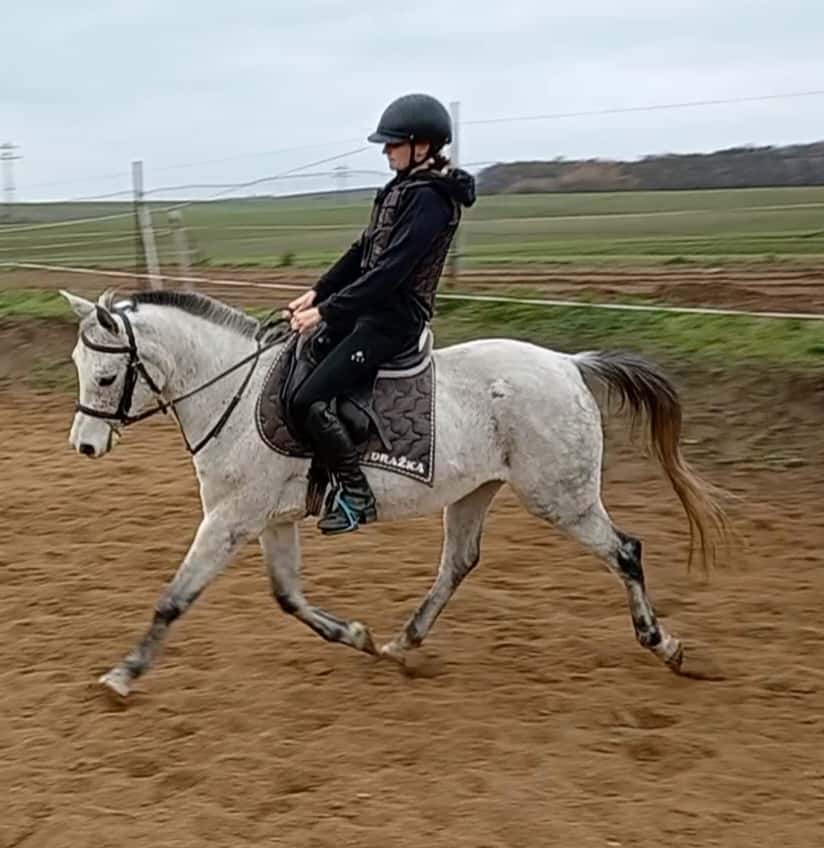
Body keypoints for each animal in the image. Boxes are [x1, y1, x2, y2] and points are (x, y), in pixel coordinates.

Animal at [59, 287, 729, 698]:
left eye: (107, 375)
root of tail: (568, 364)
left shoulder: (231, 518)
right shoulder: (271, 520)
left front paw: (124, 675)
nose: (84, 446)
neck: (236, 393)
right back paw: (403, 642)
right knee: (458, 563)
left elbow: (174, 599)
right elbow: (288, 598)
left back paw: (664, 645)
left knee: (625, 551)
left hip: (560, 497)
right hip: (476, 491)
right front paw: (354, 636)